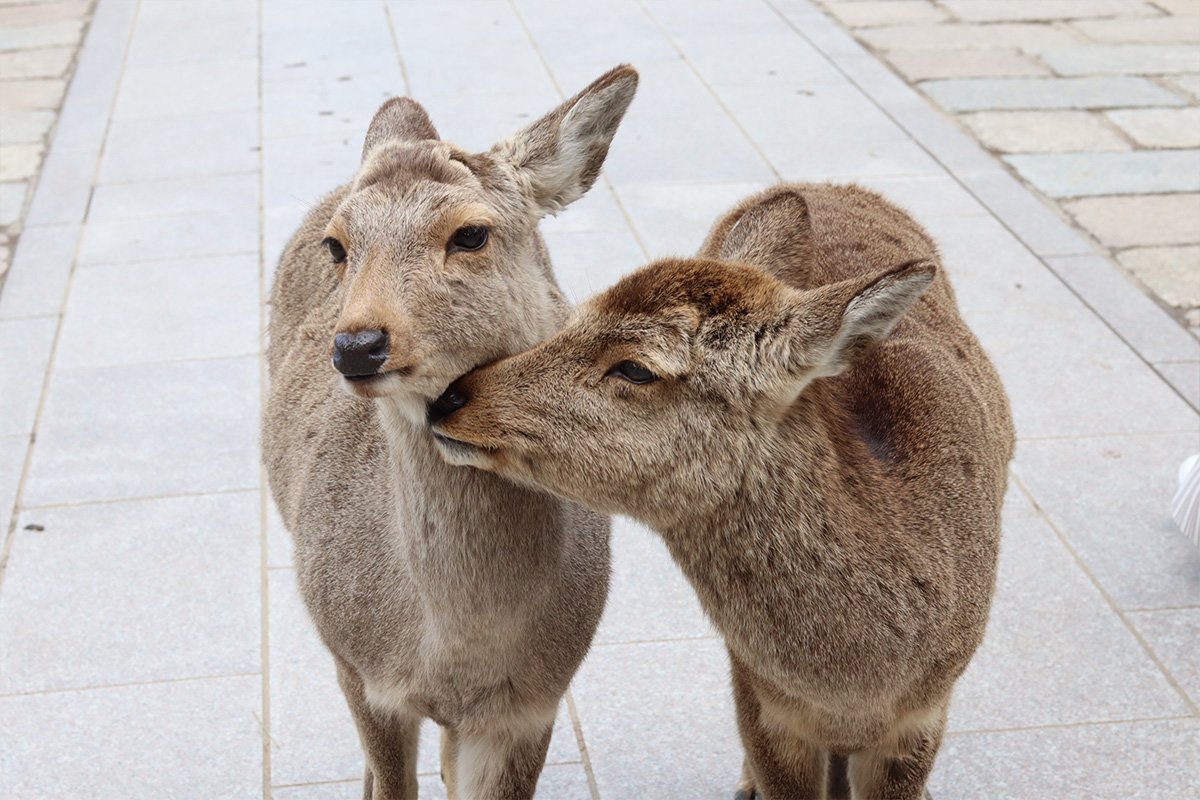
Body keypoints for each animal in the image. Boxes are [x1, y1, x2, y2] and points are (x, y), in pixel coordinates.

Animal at [262, 64, 638, 800]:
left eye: (470, 234)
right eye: (338, 246)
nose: (358, 346)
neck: (455, 650)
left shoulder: (535, 700)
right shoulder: (359, 669)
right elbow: (390, 782)